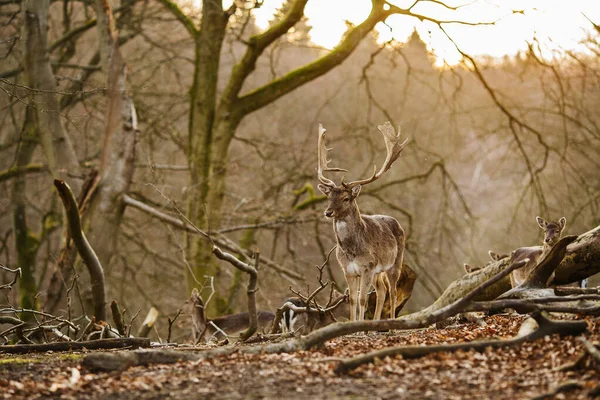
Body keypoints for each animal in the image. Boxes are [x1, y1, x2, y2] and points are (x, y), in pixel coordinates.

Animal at [316, 122, 410, 322]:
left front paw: (359, 324)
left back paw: (391, 322)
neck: (351, 250)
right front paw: (353, 324)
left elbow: (361, 300)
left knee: (392, 291)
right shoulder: (348, 270)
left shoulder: (367, 267)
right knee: (382, 290)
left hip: (395, 263)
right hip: (378, 272)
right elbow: (352, 299)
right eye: (328, 197)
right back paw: (376, 322)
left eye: (345, 198)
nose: (328, 212)